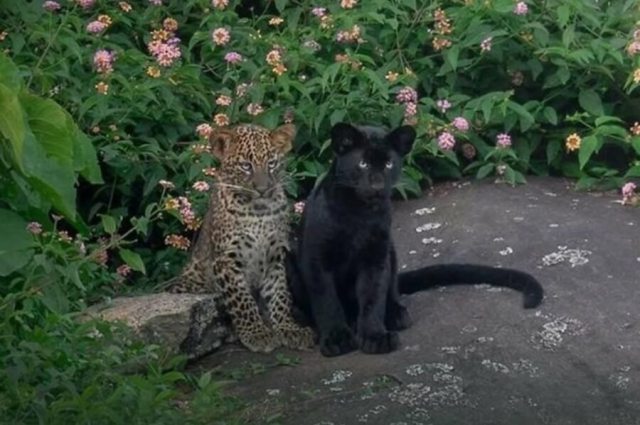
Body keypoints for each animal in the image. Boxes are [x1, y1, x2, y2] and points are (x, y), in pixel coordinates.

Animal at [168, 123, 315, 353]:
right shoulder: (227, 259)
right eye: (246, 166)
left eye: (271, 163)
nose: (262, 189)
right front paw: (257, 334)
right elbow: (242, 300)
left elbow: (280, 295)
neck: (258, 213)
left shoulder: (275, 257)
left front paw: (289, 328)